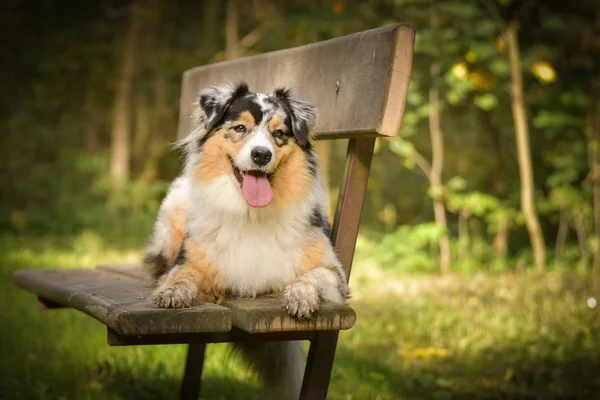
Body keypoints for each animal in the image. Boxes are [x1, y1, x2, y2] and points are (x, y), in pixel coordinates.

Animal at [144, 83, 346, 398]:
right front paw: (174, 292)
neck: (252, 213)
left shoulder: (335, 274)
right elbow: (182, 275)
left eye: (279, 133)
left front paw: (300, 296)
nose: (261, 155)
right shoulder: (189, 260)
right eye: (240, 128)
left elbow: (311, 277)